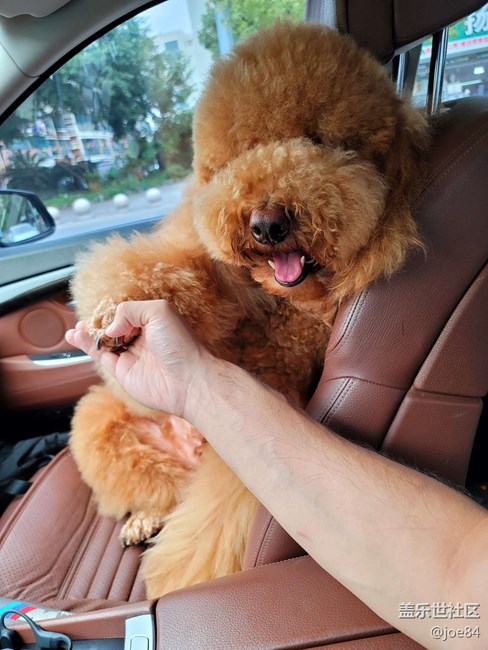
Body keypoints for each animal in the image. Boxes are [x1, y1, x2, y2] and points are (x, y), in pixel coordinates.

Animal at [69, 21, 429, 598]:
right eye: (241, 152)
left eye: (318, 140)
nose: (266, 224)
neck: (289, 303)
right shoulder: (212, 281)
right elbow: (179, 275)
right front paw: (117, 313)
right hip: (100, 425)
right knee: (157, 487)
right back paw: (144, 516)